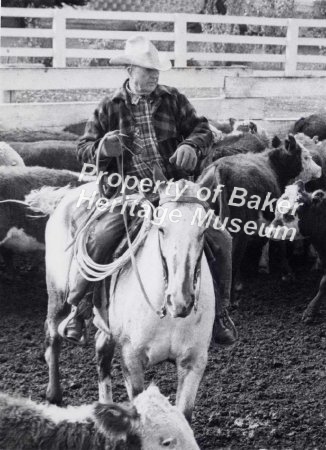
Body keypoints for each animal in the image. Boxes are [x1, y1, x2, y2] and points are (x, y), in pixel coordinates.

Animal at [44, 171, 216, 424]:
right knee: (54, 336)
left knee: (101, 349)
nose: (180, 301)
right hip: (58, 295)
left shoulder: (194, 361)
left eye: (203, 231)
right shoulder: (131, 358)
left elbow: (184, 415)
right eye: (161, 229)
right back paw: (53, 393)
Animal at [197, 134, 322, 302]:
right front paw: (287, 274)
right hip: (238, 231)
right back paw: (233, 297)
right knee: (233, 259)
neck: (273, 165)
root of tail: (220, 168)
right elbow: (280, 244)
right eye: (306, 157)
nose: (319, 169)